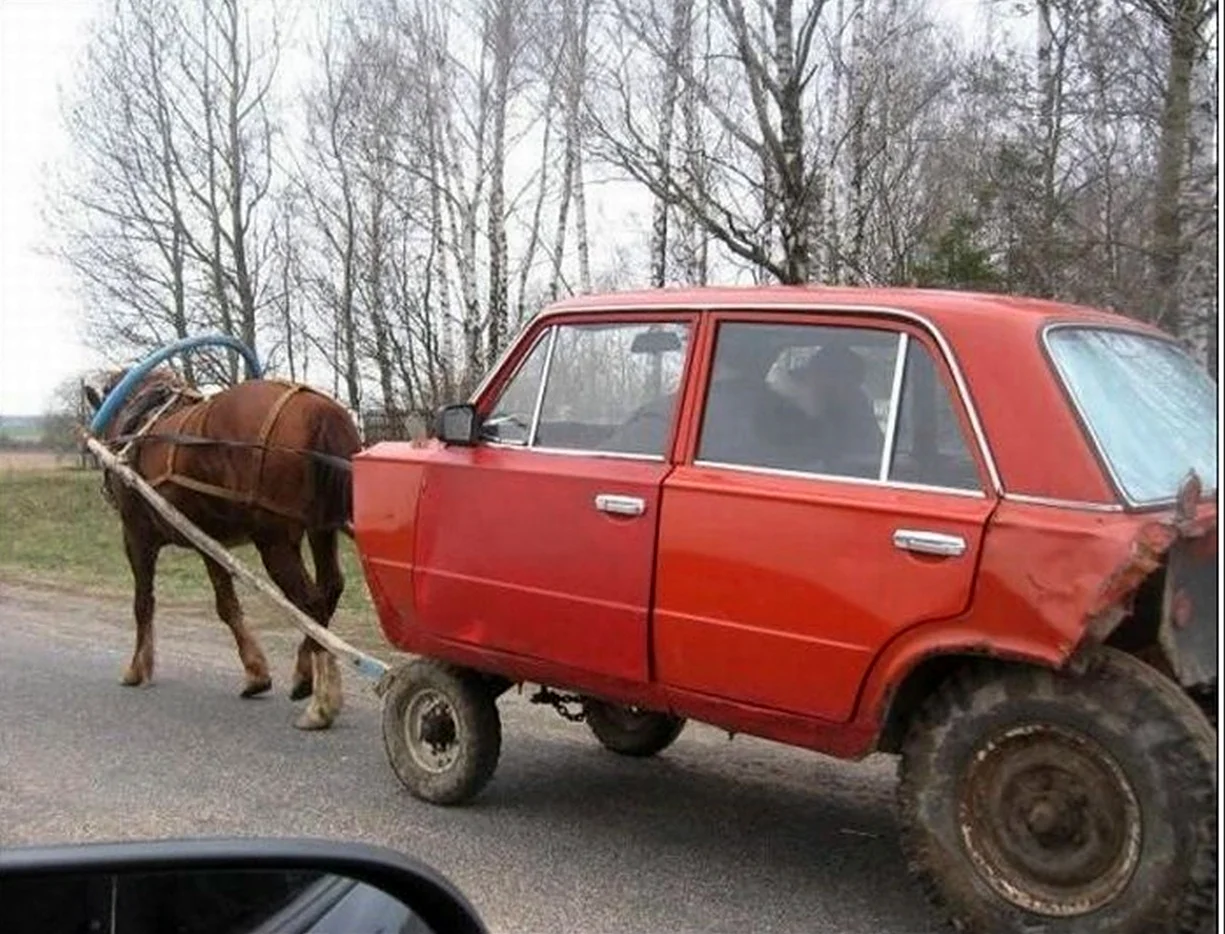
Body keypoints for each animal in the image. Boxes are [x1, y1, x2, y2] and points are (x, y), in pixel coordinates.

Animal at [83, 365, 360, 725]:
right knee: (329, 589)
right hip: (321, 528)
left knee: (310, 604)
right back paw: (305, 673)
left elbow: (143, 603)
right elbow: (226, 605)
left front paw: (136, 669)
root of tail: (318, 409)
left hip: (274, 540)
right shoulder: (207, 539)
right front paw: (256, 674)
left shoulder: (136, 535)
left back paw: (321, 703)